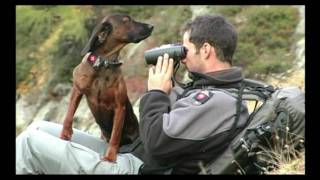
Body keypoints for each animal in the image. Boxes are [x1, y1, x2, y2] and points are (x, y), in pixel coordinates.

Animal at [61, 14, 154, 162]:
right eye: (127, 20)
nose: (151, 26)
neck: (103, 64)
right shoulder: (77, 89)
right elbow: (69, 115)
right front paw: (65, 134)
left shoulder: (119, 107)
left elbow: (115, 136)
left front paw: (110, 157)